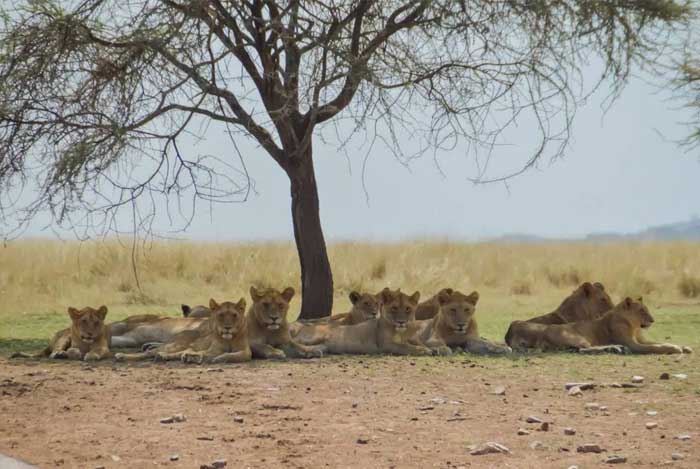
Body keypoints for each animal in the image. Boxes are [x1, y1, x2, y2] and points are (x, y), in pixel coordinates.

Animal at [116, 298, 253, 364]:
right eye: (221, 315)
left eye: (234, 315)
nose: (227, 327)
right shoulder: (212, 349)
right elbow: (208, 353)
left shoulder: (246, 352)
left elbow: (234, 355)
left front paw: (219, 358)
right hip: (174, 345)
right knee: (148, 353)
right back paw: (122, 356)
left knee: (170, 353)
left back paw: (165, 356)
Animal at [504, 296, 696, 354]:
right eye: (642, 310)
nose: (652, 320)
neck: (633, 325)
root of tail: (544, 334)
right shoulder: (633, 344)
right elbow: (654, 347)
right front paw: (674, 349)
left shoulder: (641, 339)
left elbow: (657, 342)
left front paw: (683, 346)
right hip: (578, 337)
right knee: (584, 349)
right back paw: (616, 348)